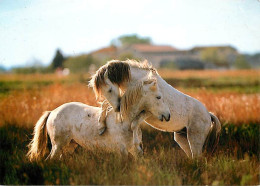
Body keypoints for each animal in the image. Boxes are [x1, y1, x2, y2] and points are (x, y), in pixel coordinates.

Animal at [27, 77, 171, 161]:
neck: (126, 121)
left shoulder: (135, 150)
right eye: (158, 97)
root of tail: (52, 112)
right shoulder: (122, 151)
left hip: (69, 146)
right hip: (58, 145)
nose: (168, 115)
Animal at [89, 59, 221, 158]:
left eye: (110, 89)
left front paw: (138, 148)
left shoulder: (147, 111)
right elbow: (104, 104)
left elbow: (134, 124)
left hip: (195, 139)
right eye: (104, 91)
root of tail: (208, 115)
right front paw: (101, 127)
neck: (140, 80)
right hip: (182, 138)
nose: (117, 108)